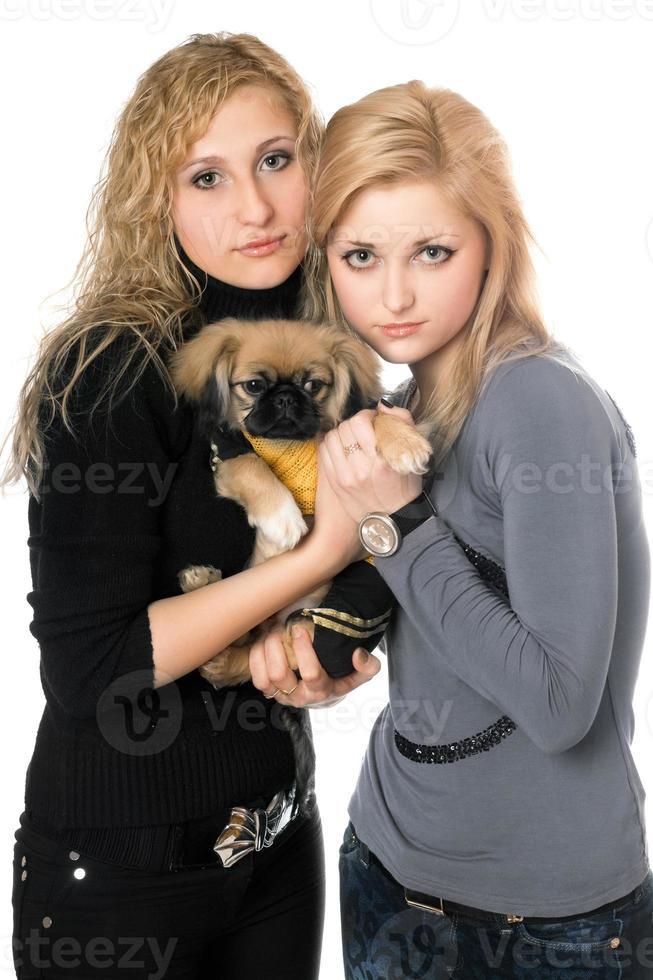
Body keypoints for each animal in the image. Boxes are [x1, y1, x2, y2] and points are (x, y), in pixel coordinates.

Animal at [168, 318, 432, 692]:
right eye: (254, 386)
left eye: (312, 385)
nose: (285, 398)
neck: (288, 444)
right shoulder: (230, 454)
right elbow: (254, 467)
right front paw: (283, 518)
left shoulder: (352, 420)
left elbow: (372, 418)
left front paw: (406, 442)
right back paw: (200, 585)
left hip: (325, 627)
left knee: (266, 650)